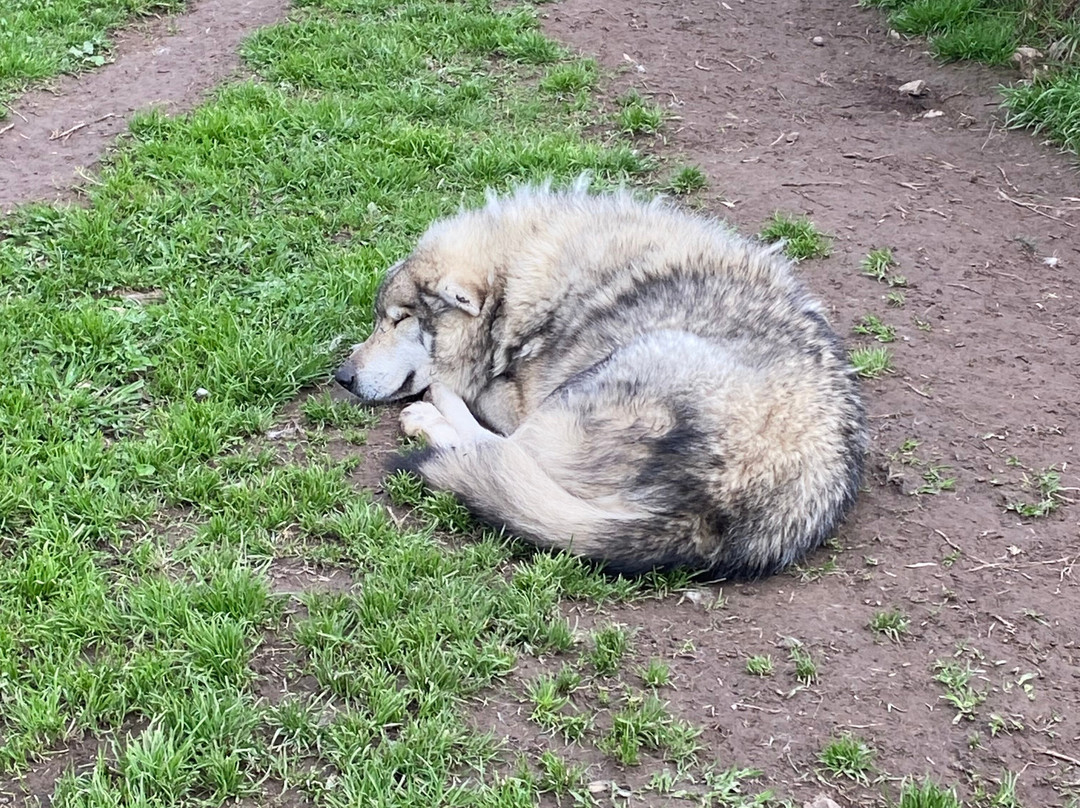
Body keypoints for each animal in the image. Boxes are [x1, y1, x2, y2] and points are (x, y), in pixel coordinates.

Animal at [334, 179, 867, 579]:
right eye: (378, 319)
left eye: (400, 320)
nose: (342, 376)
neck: (520, 282)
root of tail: (710, 521)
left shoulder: (523, 398)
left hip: (600, 380)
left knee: (497, 447)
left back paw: (428, 414)